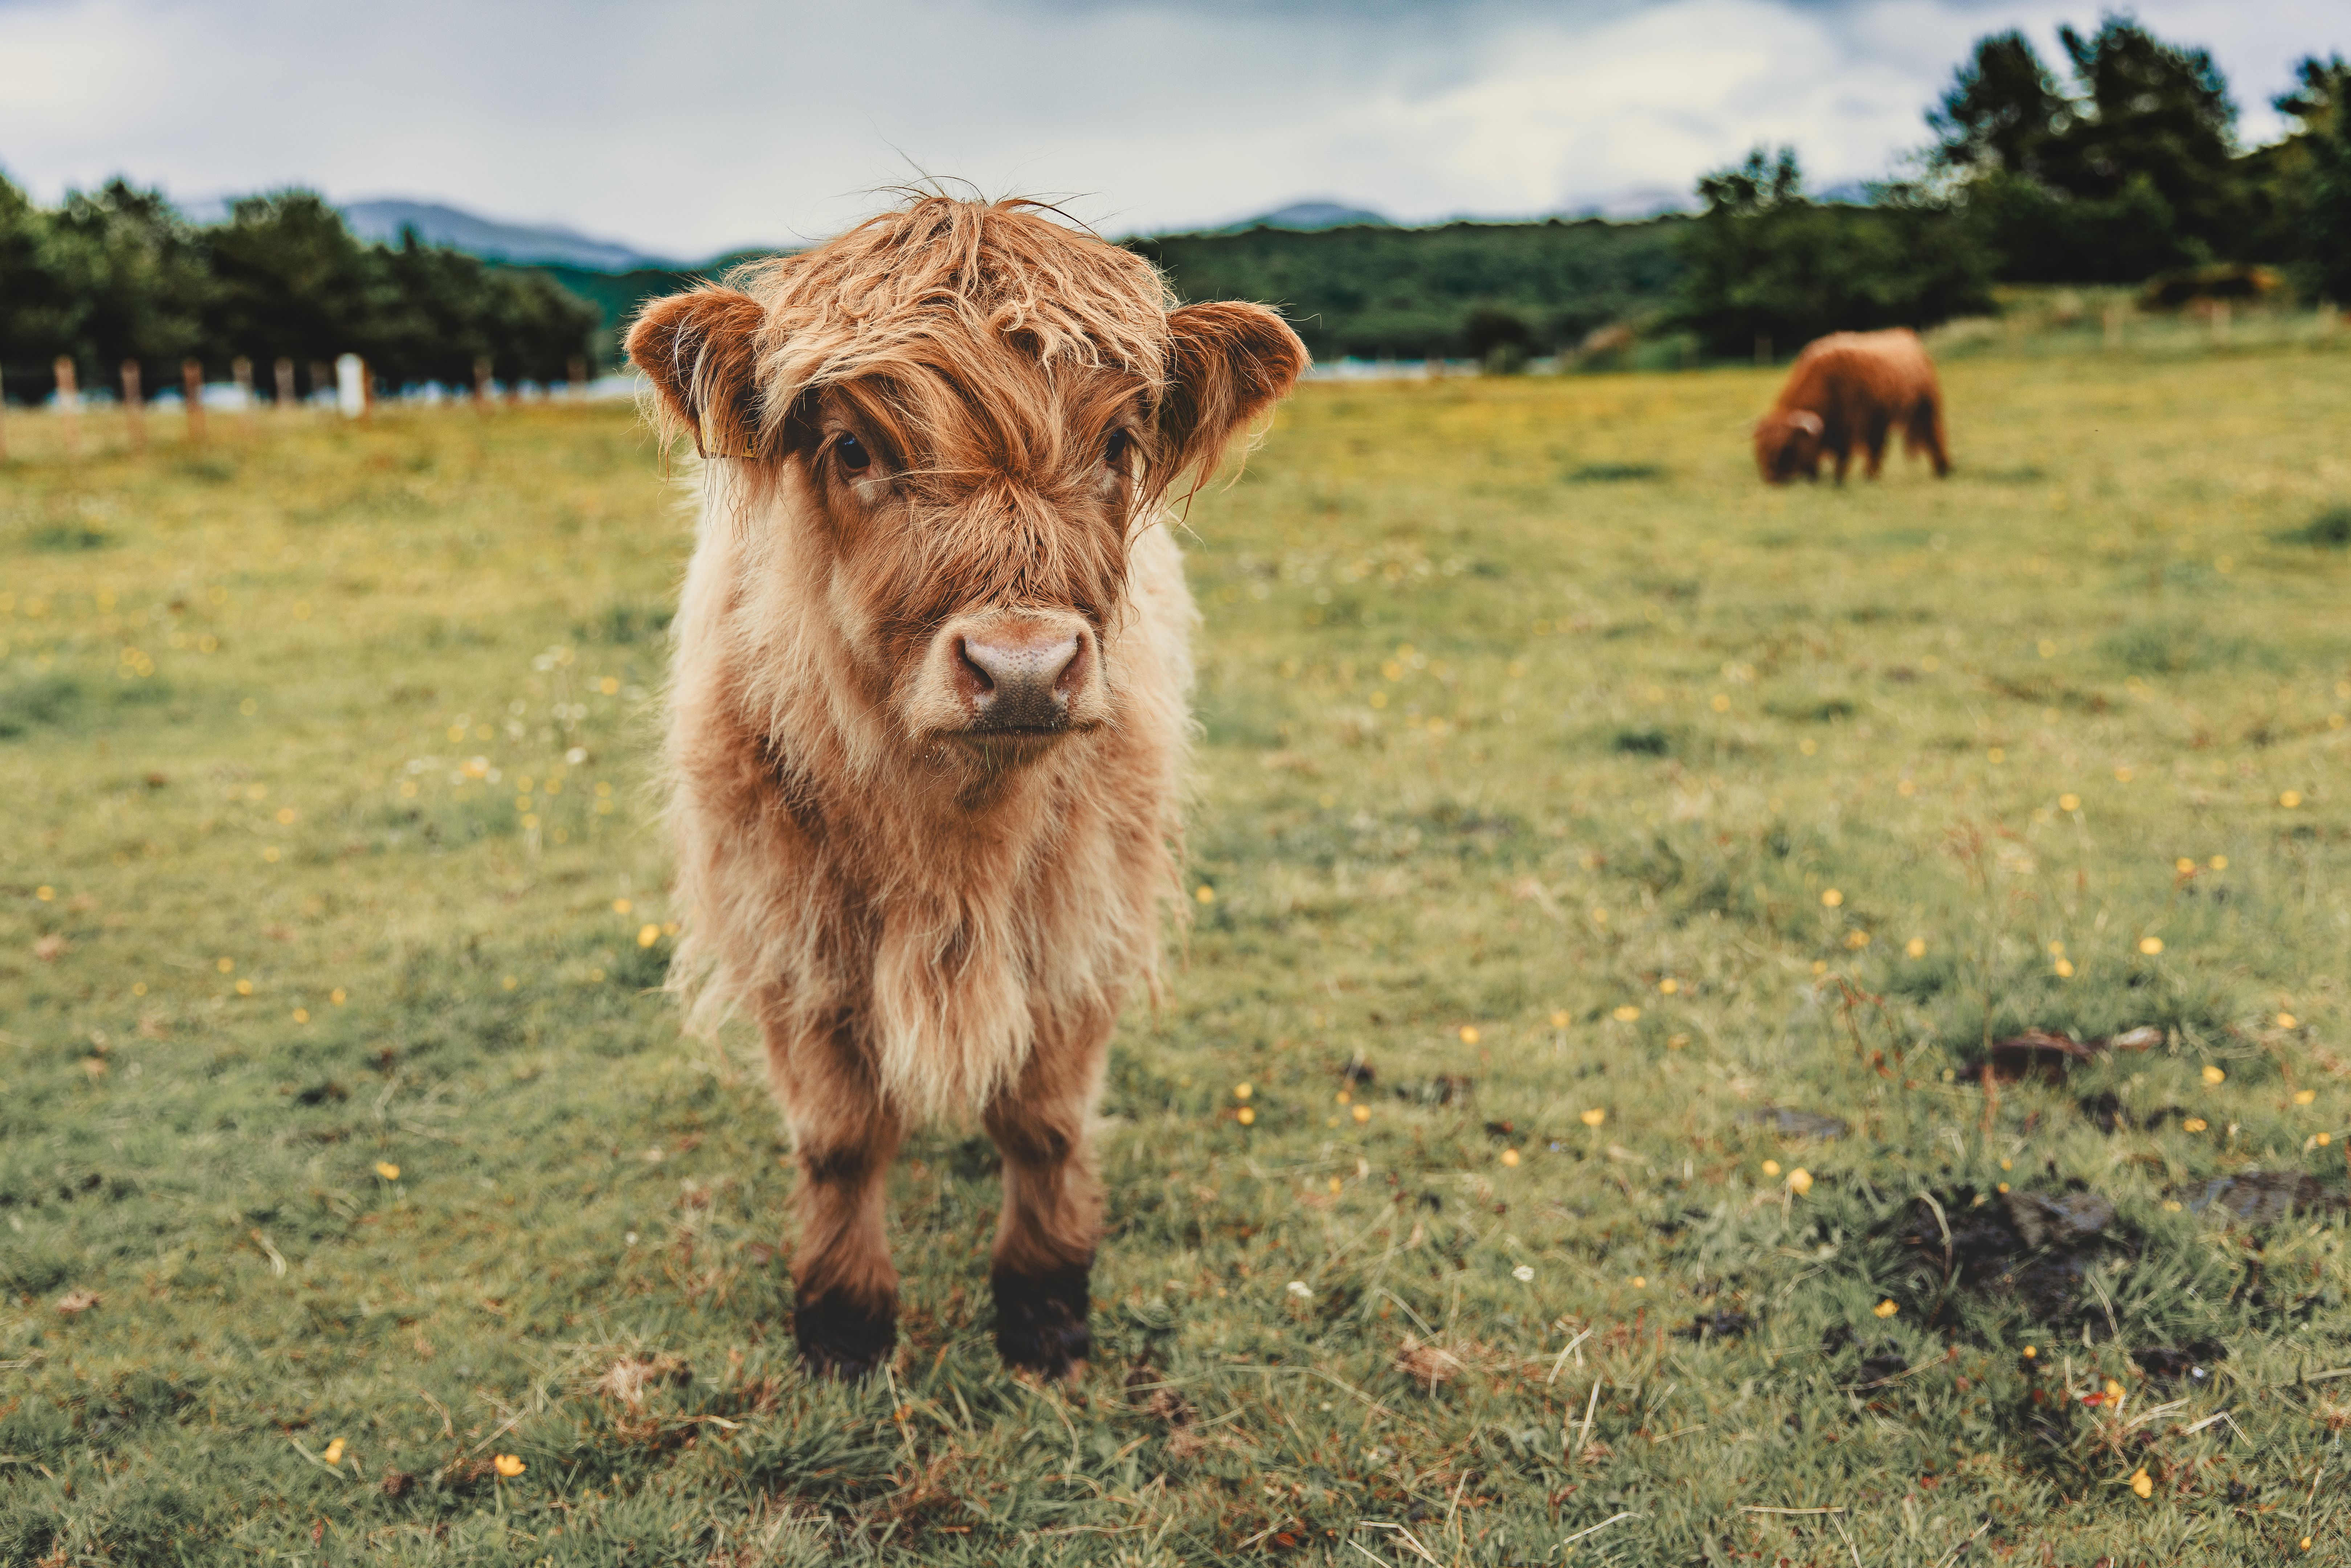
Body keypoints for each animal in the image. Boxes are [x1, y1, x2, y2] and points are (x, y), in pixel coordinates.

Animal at [624, 196, 1307, 1382]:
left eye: (1118, 443)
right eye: (852, 446)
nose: (1023, 668)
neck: (953, 844)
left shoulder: (1085, 916)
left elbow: (1045, 1120)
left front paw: (1045, 1306)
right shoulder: (788, 933)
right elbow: (839, 1137)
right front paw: (843, 1321)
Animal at [1752, 328, 1950, 485]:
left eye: (1787, 447)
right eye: (1761, 448)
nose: (1772, 479)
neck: (1826, 380)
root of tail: (1908, 336)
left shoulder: (1851, 425)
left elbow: (1843, 455)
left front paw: (1839, 481)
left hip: (1926, 407)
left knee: (1934, 435)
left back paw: (1943, 469)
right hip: (1881, 418)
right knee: (1879, 447)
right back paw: (1872, 476)